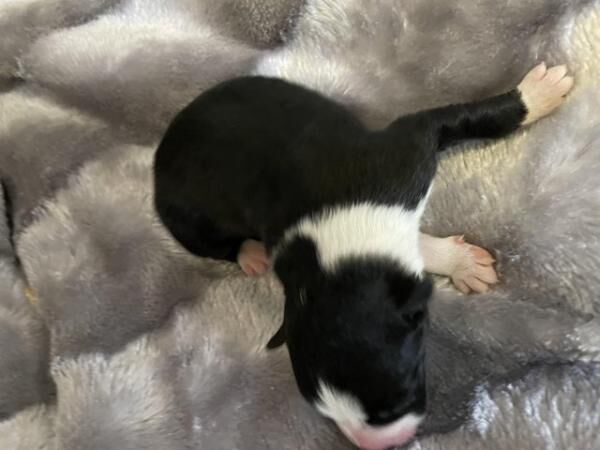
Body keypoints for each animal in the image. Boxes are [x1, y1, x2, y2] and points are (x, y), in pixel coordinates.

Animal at [154, 64, 572, 450]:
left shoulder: (408, 150)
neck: (337, 254)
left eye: (396, 403)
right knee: (214, 242)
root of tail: (161, 156)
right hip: (187, 216)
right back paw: (251, 254)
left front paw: (538, 94)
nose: (375, 446)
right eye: (325, 414)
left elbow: (467, 117)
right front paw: (463, 263)